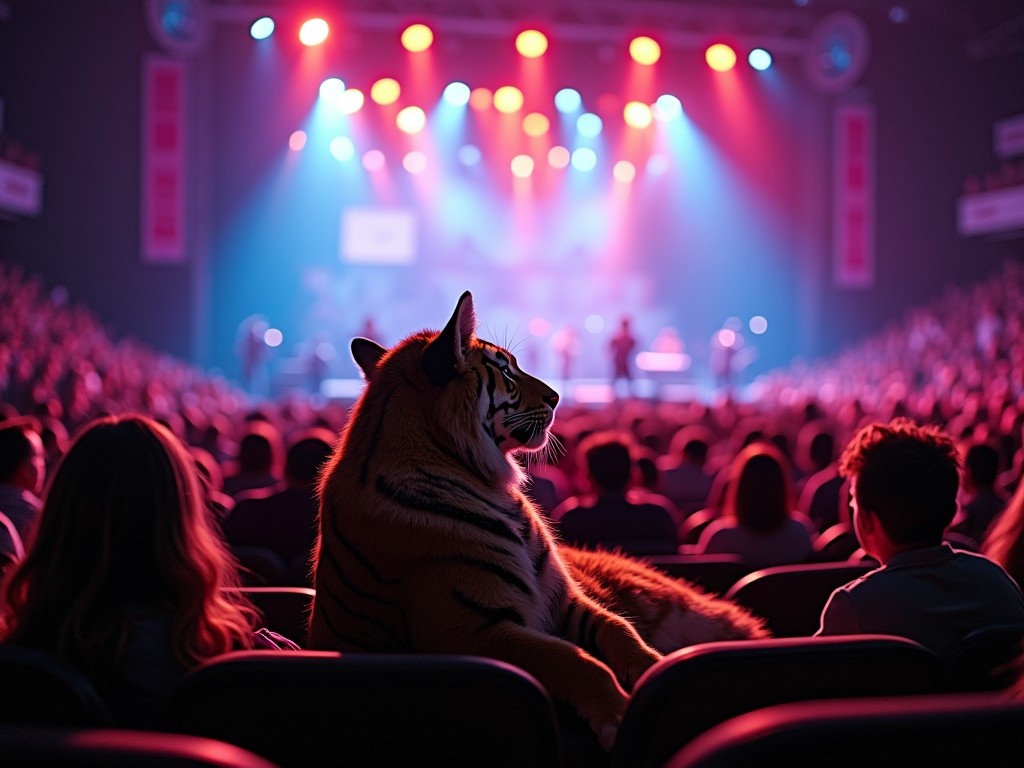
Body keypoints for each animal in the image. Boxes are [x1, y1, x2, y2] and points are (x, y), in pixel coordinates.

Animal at [309, 290, 663, 749]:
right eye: (506, 372)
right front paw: (617, 716)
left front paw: (657, 665)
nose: (556, 397)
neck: (482, 479)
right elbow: (575, 659)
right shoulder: (471, 630)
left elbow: (619, 628)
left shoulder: (561, 600)